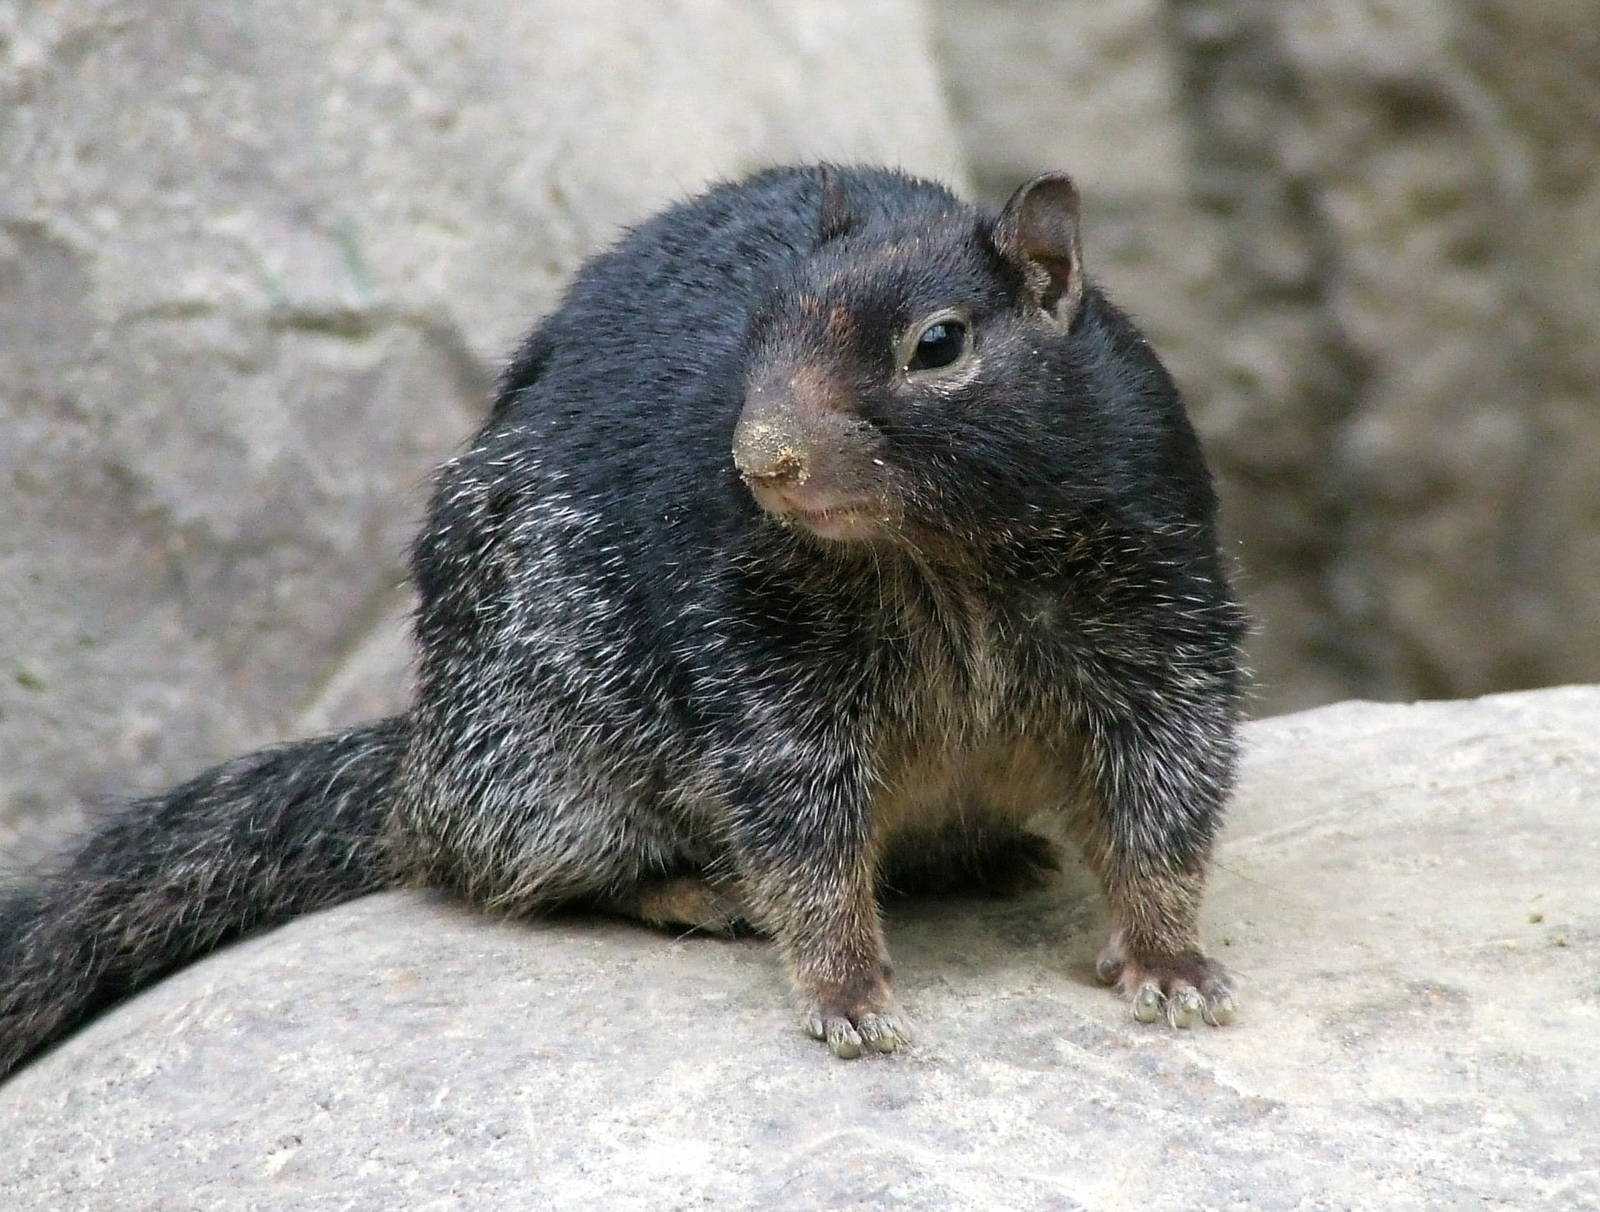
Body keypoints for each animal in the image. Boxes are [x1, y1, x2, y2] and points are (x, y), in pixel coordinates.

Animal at [0, 164, 1246, 1076]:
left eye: (936, 344)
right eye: (760, 326)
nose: (761, 459)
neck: (937, 557)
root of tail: (416, 757)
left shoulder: (1163, 618)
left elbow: (1164, 802)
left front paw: (1171, 963)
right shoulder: (765, 670)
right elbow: (802, 839)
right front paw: (847, 994)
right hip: (541, 755)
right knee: (502, 866)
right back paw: (694, 890)